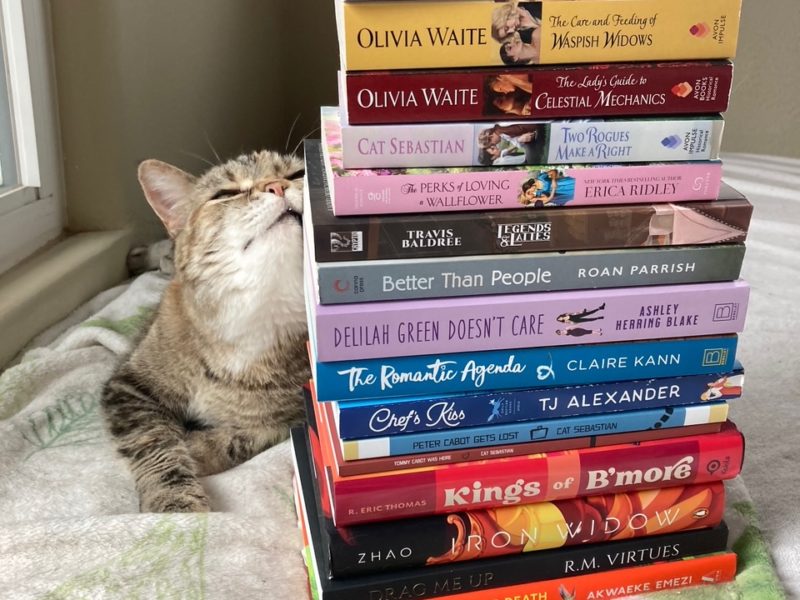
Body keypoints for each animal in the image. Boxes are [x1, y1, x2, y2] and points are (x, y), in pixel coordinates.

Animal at [99, 151, 310, 510]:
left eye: (298, 173)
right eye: (225, 193)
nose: (277, 186)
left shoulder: (296, 418)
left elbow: (250, 435)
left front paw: (197, 449)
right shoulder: (128, 387)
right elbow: (156, 446)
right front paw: (175, 503)